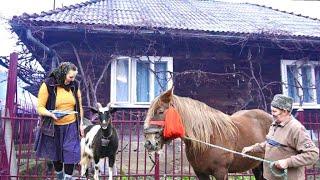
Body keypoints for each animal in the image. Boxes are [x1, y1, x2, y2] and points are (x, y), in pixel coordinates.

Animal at [144, 89, 272, 180]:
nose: (148, 142)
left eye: (160, 111)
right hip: (257, 165)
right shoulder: (200, 173)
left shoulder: (221, 172)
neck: (209, 139)